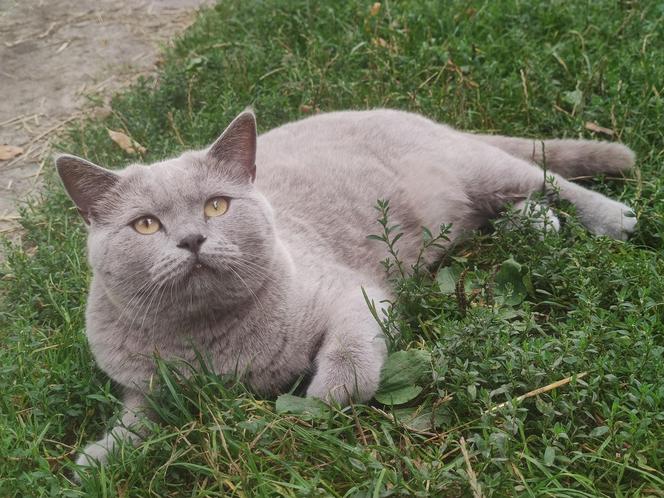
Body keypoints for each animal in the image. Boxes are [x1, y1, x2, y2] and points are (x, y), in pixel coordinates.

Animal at [54, 108, 636, 470]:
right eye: (146, 225)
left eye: (216, 206)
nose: (192, 239)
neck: (208, 344)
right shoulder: (145, 386)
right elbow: (139, 416)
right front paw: (99, 459)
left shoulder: (352, 294)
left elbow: (351, 357)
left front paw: (325, 400)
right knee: (514, 205)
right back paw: (539, 226)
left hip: (480, 168)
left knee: (548, 178)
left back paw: (617, 220)